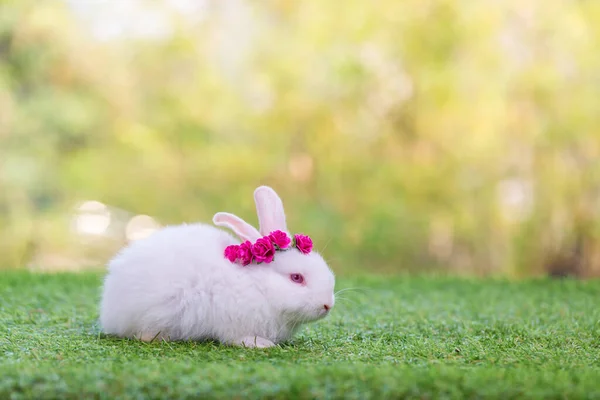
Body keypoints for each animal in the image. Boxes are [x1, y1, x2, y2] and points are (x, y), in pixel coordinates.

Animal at [98, 187, 332, 346]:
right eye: (296, 278)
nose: (328, 305)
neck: (259, 286)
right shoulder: (235, 322)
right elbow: (239, 338)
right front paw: (261, 344)